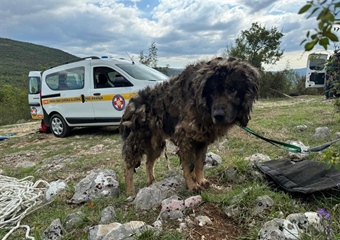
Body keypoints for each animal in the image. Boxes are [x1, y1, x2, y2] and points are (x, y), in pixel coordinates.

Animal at [121, 57, 258, 195]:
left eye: (233, 90)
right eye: (212, 91)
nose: (218, 115)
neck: (201, 104)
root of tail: (131, 104)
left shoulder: (202, 141)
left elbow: (199, 164)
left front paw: (201, 180)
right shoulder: (185, 139)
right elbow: (188, 166)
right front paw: (192, 185)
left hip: (156, 145)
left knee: (148, 162)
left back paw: (151, 182)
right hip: (138, 142)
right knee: (128, 166)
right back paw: (130, 192)